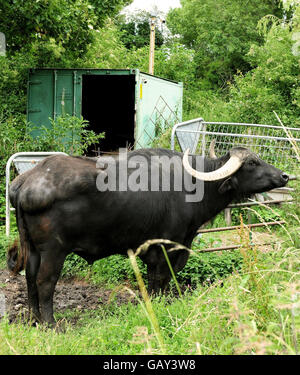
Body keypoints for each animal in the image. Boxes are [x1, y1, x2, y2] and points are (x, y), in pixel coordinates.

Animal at [7, 147, 288, 326]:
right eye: (251, 163)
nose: (285, 176)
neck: (194, 186)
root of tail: (25, 182)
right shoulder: (167, 247)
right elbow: (163, 280)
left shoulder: (154, 252)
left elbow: (153, 283)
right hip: (54, 250)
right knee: (45, 281)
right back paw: (51, 323)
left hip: (33, 249)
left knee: (30, 278)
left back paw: (34, 319)